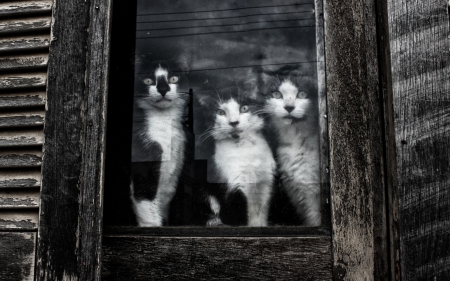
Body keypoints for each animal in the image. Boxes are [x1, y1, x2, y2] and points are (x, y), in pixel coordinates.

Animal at [198, 82, 278, 225]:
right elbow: (237, 217)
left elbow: (261, 217)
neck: (244, 147)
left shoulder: (265, 183)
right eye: (220, 112)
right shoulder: (233, 186)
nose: (234, 122)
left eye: (244, 108)